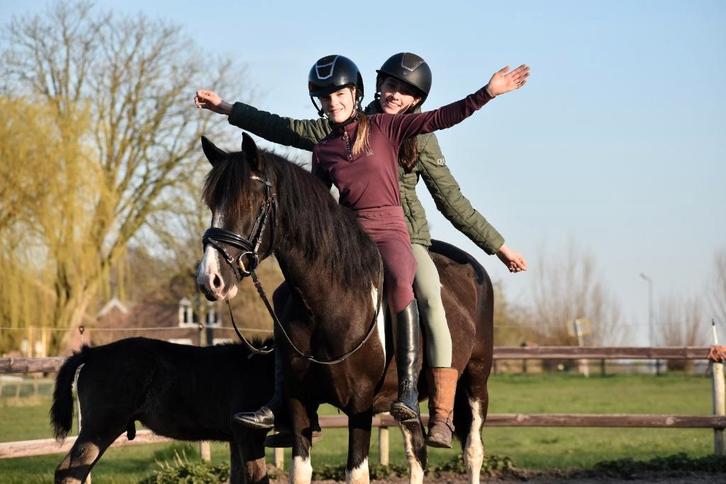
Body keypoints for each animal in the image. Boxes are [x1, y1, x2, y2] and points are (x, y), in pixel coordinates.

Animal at [51, 337, 274, 484]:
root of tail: (93, 353)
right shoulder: (249, 435)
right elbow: (258, 477)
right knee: (68, 472)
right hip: (101, 427)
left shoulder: (236, 439)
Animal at [197, 134, 494, 484]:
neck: (329, 304)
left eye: (250, 204)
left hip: (476, 381)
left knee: (472, 451)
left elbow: (356, 473)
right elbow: (301, 470)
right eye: (212, 205)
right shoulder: (298, 404)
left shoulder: (360, 406)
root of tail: (473, 268)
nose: (210, 279)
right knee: (417, 453)